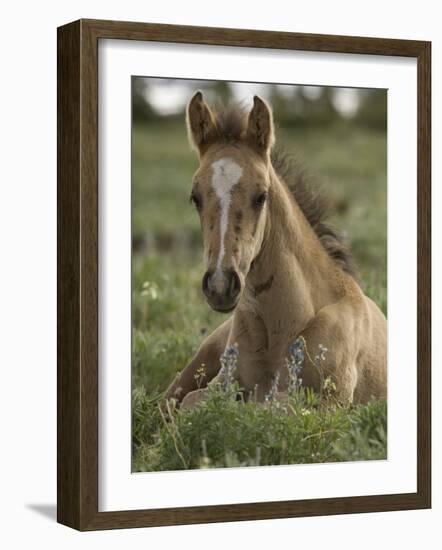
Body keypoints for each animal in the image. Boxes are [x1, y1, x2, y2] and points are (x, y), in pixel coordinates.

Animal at [164, 91, 386, 410]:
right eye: (195, 197)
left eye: (261, 196)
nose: (220, 285)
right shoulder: (220, 385)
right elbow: (194, 404)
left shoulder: (331, 404)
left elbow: (274, 406)